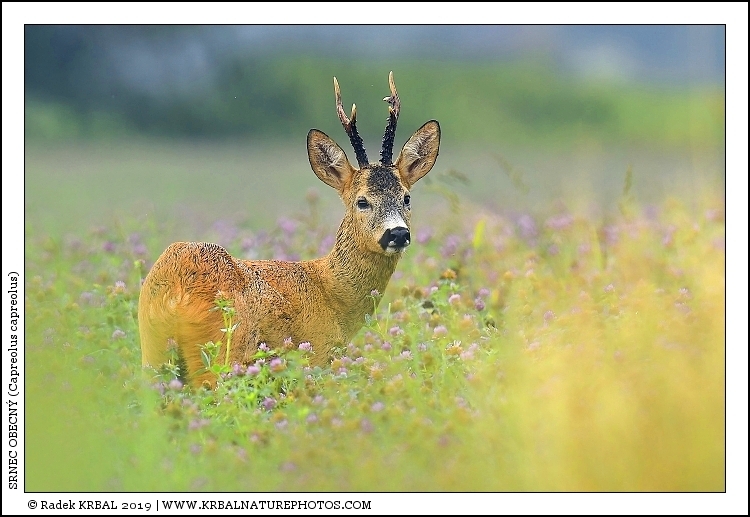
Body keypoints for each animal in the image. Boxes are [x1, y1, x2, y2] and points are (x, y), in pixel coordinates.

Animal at [138, 72, 441, 387]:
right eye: (362, 201)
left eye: (406, 197)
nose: (398, 233)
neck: (332, 293)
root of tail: (176, 289)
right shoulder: (317, 355)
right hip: (222, 352)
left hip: (152, 352)